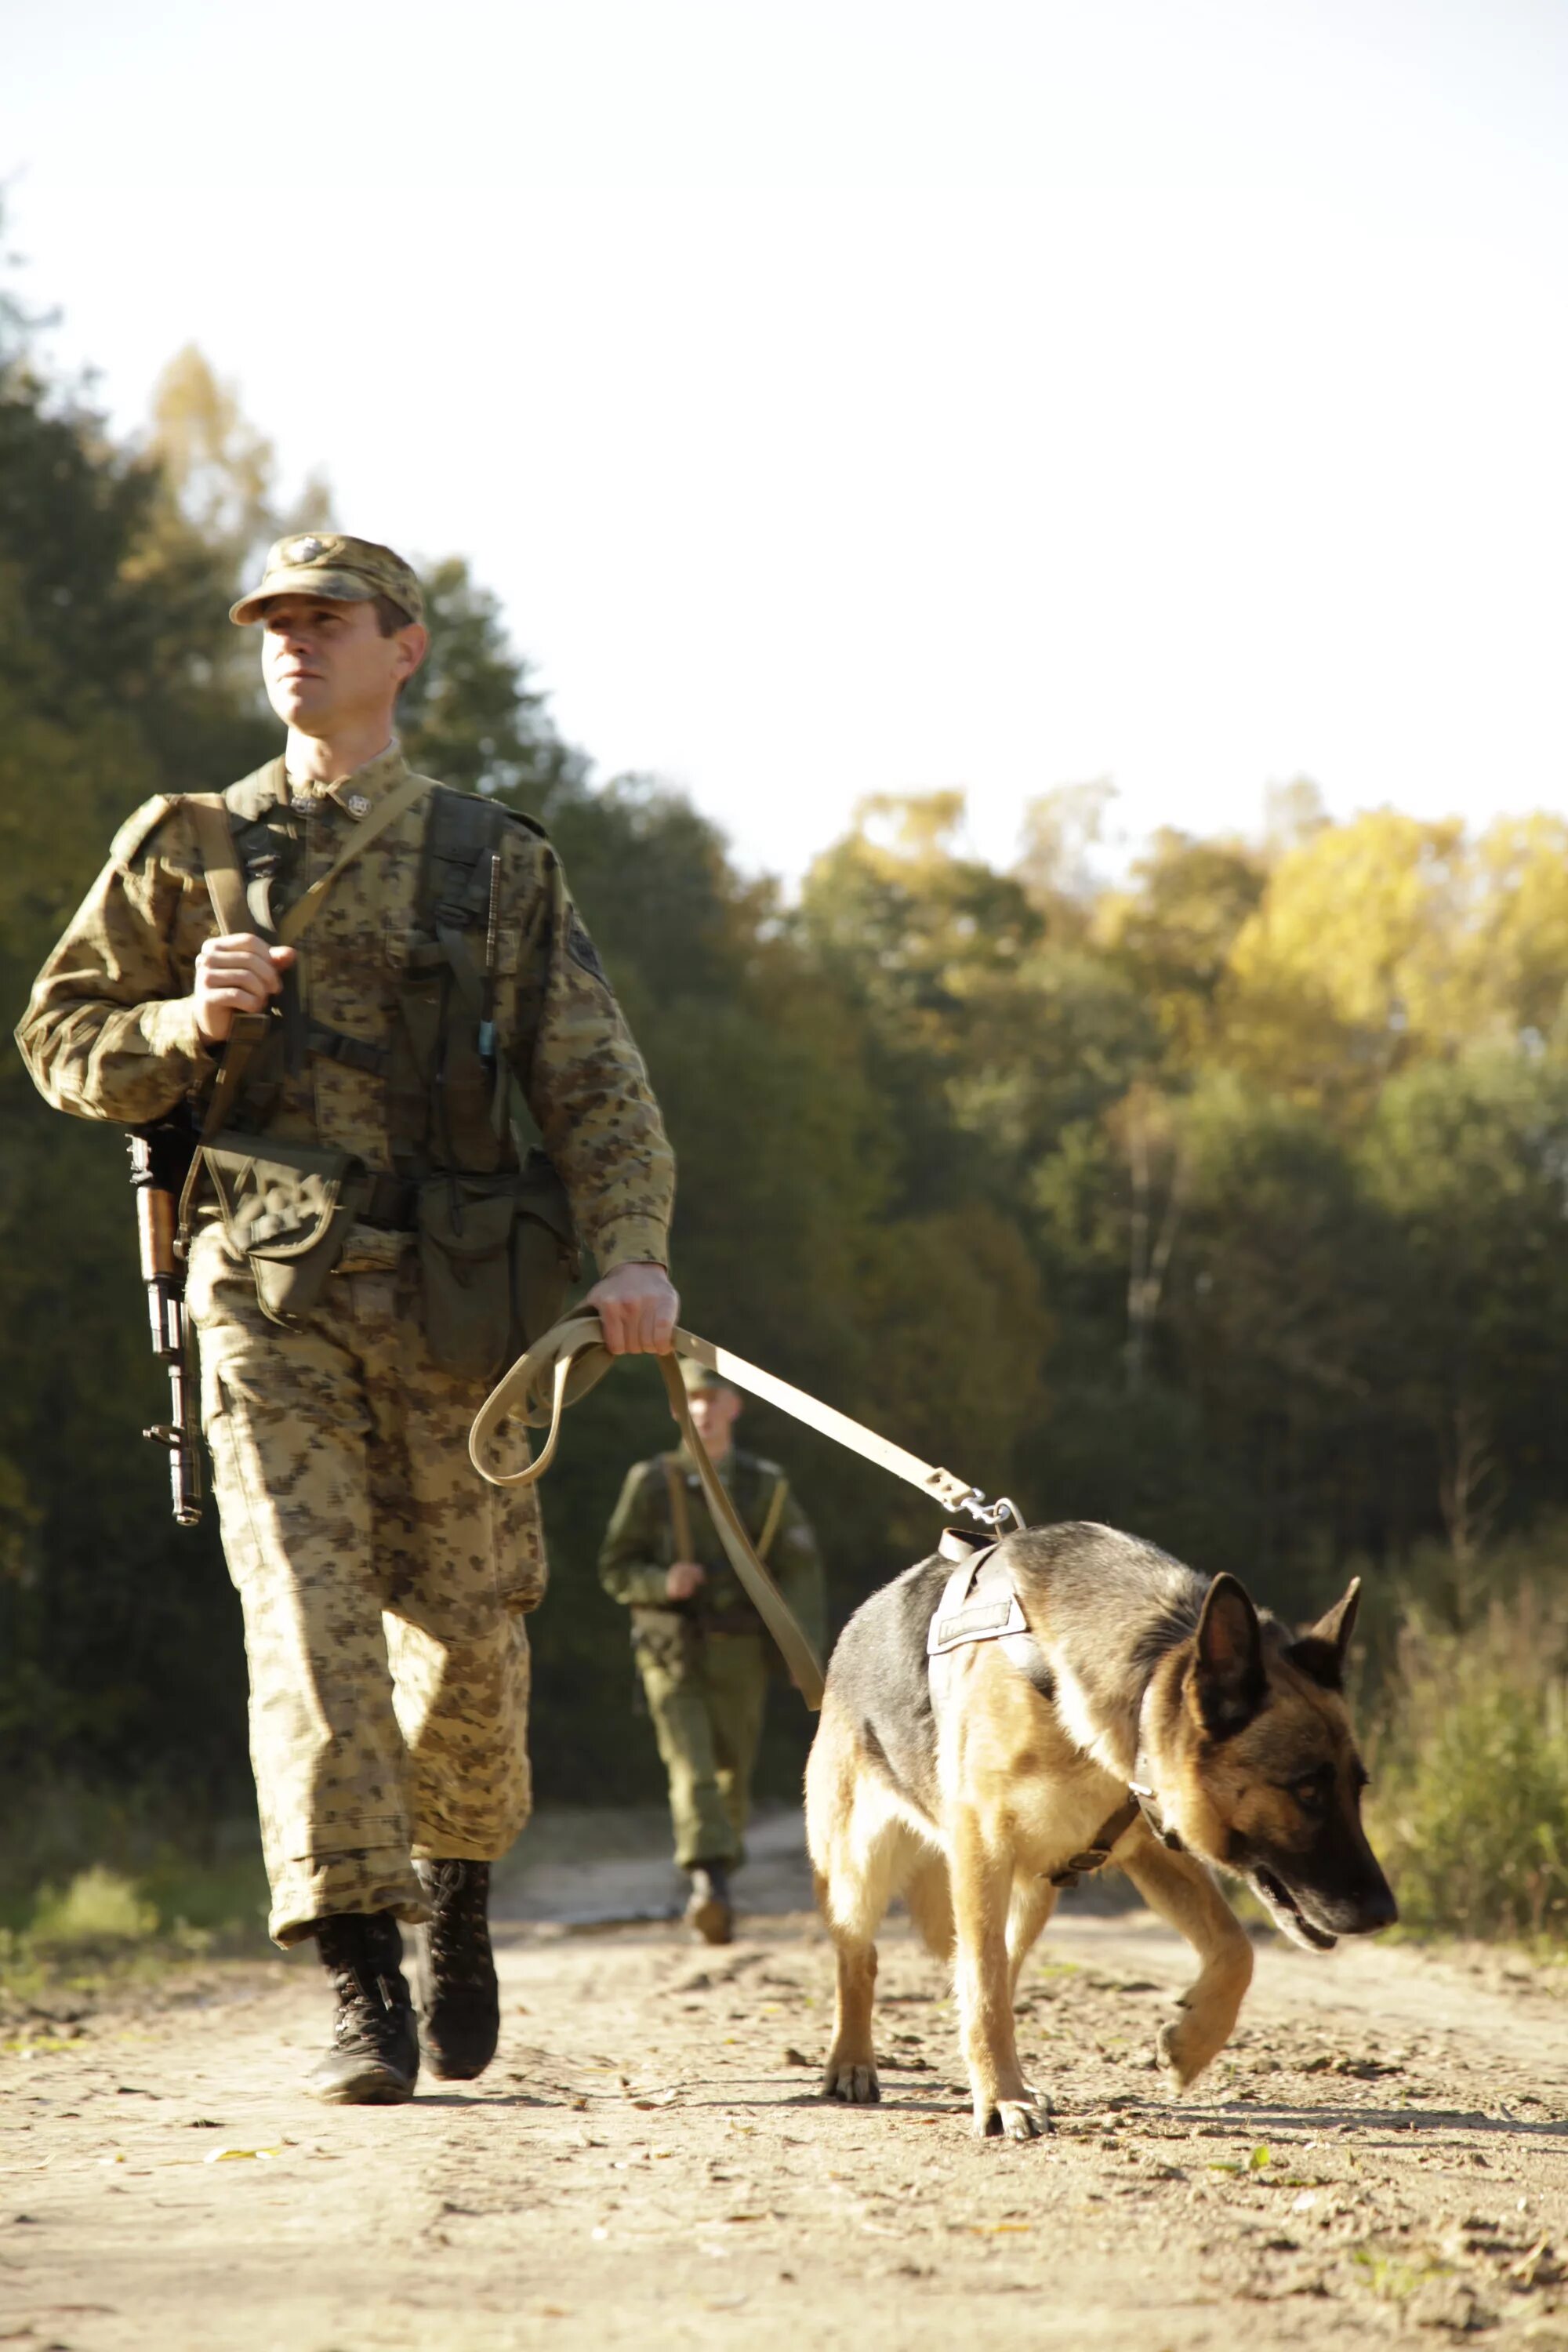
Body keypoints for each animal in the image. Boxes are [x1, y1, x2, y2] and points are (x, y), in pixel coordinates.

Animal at [808, 1524, 1401, 2136]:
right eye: (1306, 1791)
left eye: (1357, 1788)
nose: (1387, 1915)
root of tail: (857, 1623)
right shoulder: (983, 1847)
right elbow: (984, 1986)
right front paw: (1000, 2098)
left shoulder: (1149, 1847)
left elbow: (1237, 1949)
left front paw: (1190, 2045)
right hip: (860, 1870)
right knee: (863, 1957)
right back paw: (852, 2061)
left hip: (1034, 1894)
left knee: (995, 1964)